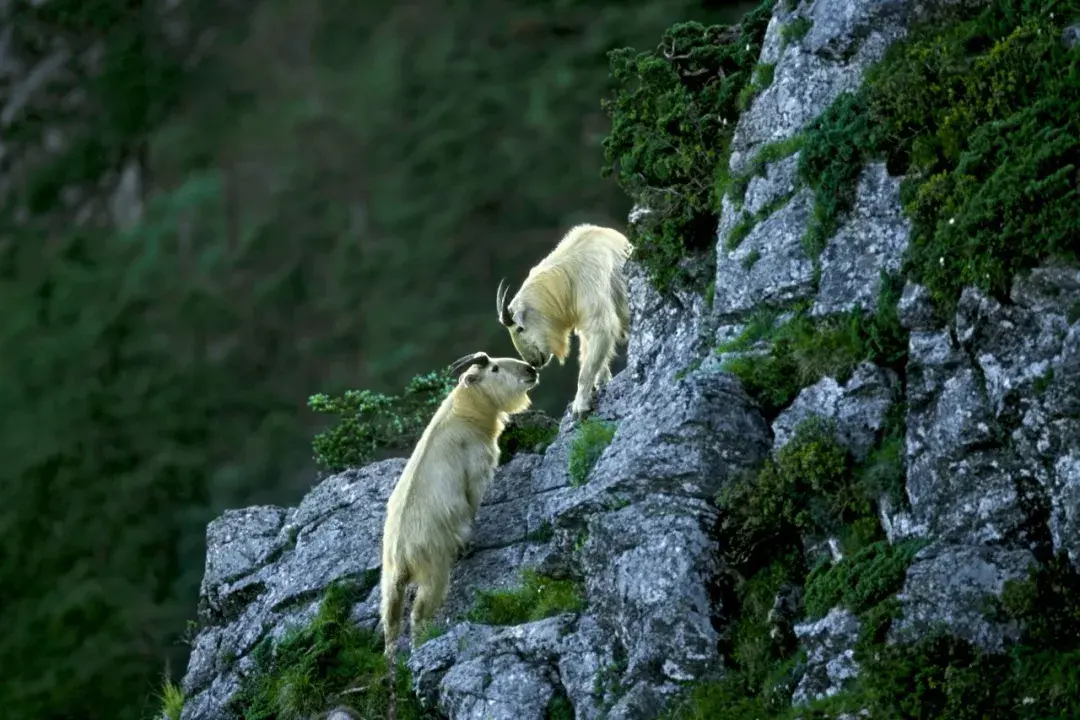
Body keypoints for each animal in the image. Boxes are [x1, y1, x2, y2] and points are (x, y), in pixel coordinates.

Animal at [375, 351, 540, 716]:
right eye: (495, 368)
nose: (531, 370)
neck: (464, 412)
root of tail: (401, 556)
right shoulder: (476, 471)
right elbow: (472, 504)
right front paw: (470, 542)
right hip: (434, 570)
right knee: (419, 614)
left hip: (388, 583)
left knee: (390, 625)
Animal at [496, 222, 630, 418]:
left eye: (519, 328)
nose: (533, 362)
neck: (567, 278)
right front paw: (602, 381)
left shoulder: (595, 307)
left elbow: (588, 363)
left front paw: (580, 406)